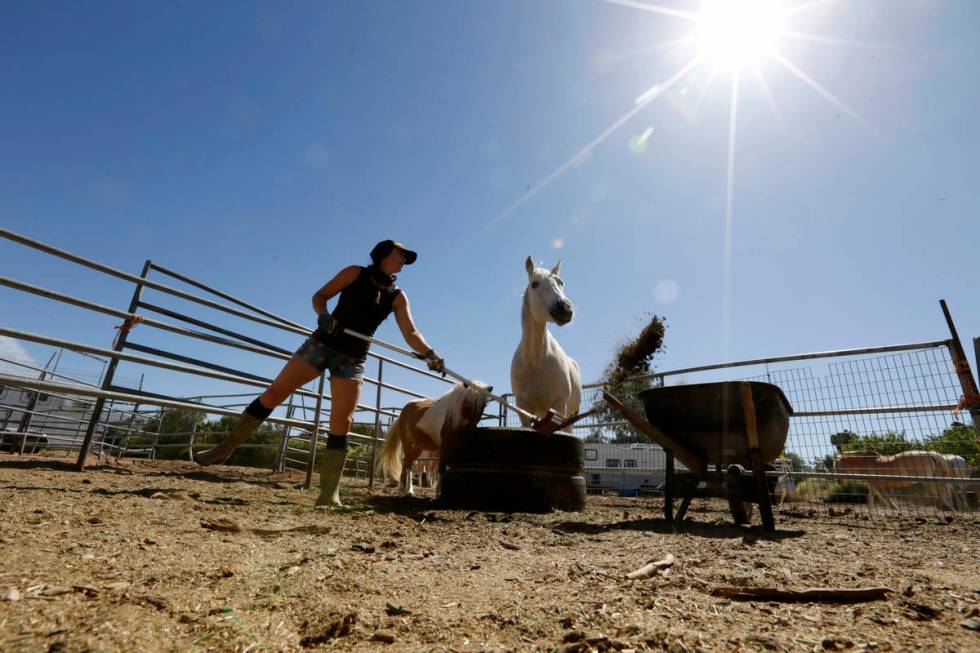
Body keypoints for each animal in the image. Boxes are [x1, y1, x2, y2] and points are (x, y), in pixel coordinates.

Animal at [510, 255, 580, 428]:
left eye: (561, 282)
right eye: (534, 284)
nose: (565, 308)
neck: (535, 363)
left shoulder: (559, 405)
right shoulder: (523, 406)